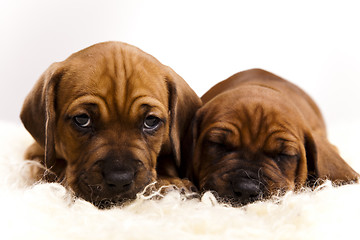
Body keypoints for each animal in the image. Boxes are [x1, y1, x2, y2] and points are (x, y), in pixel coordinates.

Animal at [21, 41, 201, 208]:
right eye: (82, 119)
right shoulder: (35, 154)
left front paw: (169, 181)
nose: (120, 180)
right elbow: (54, 168)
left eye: (151, 121)